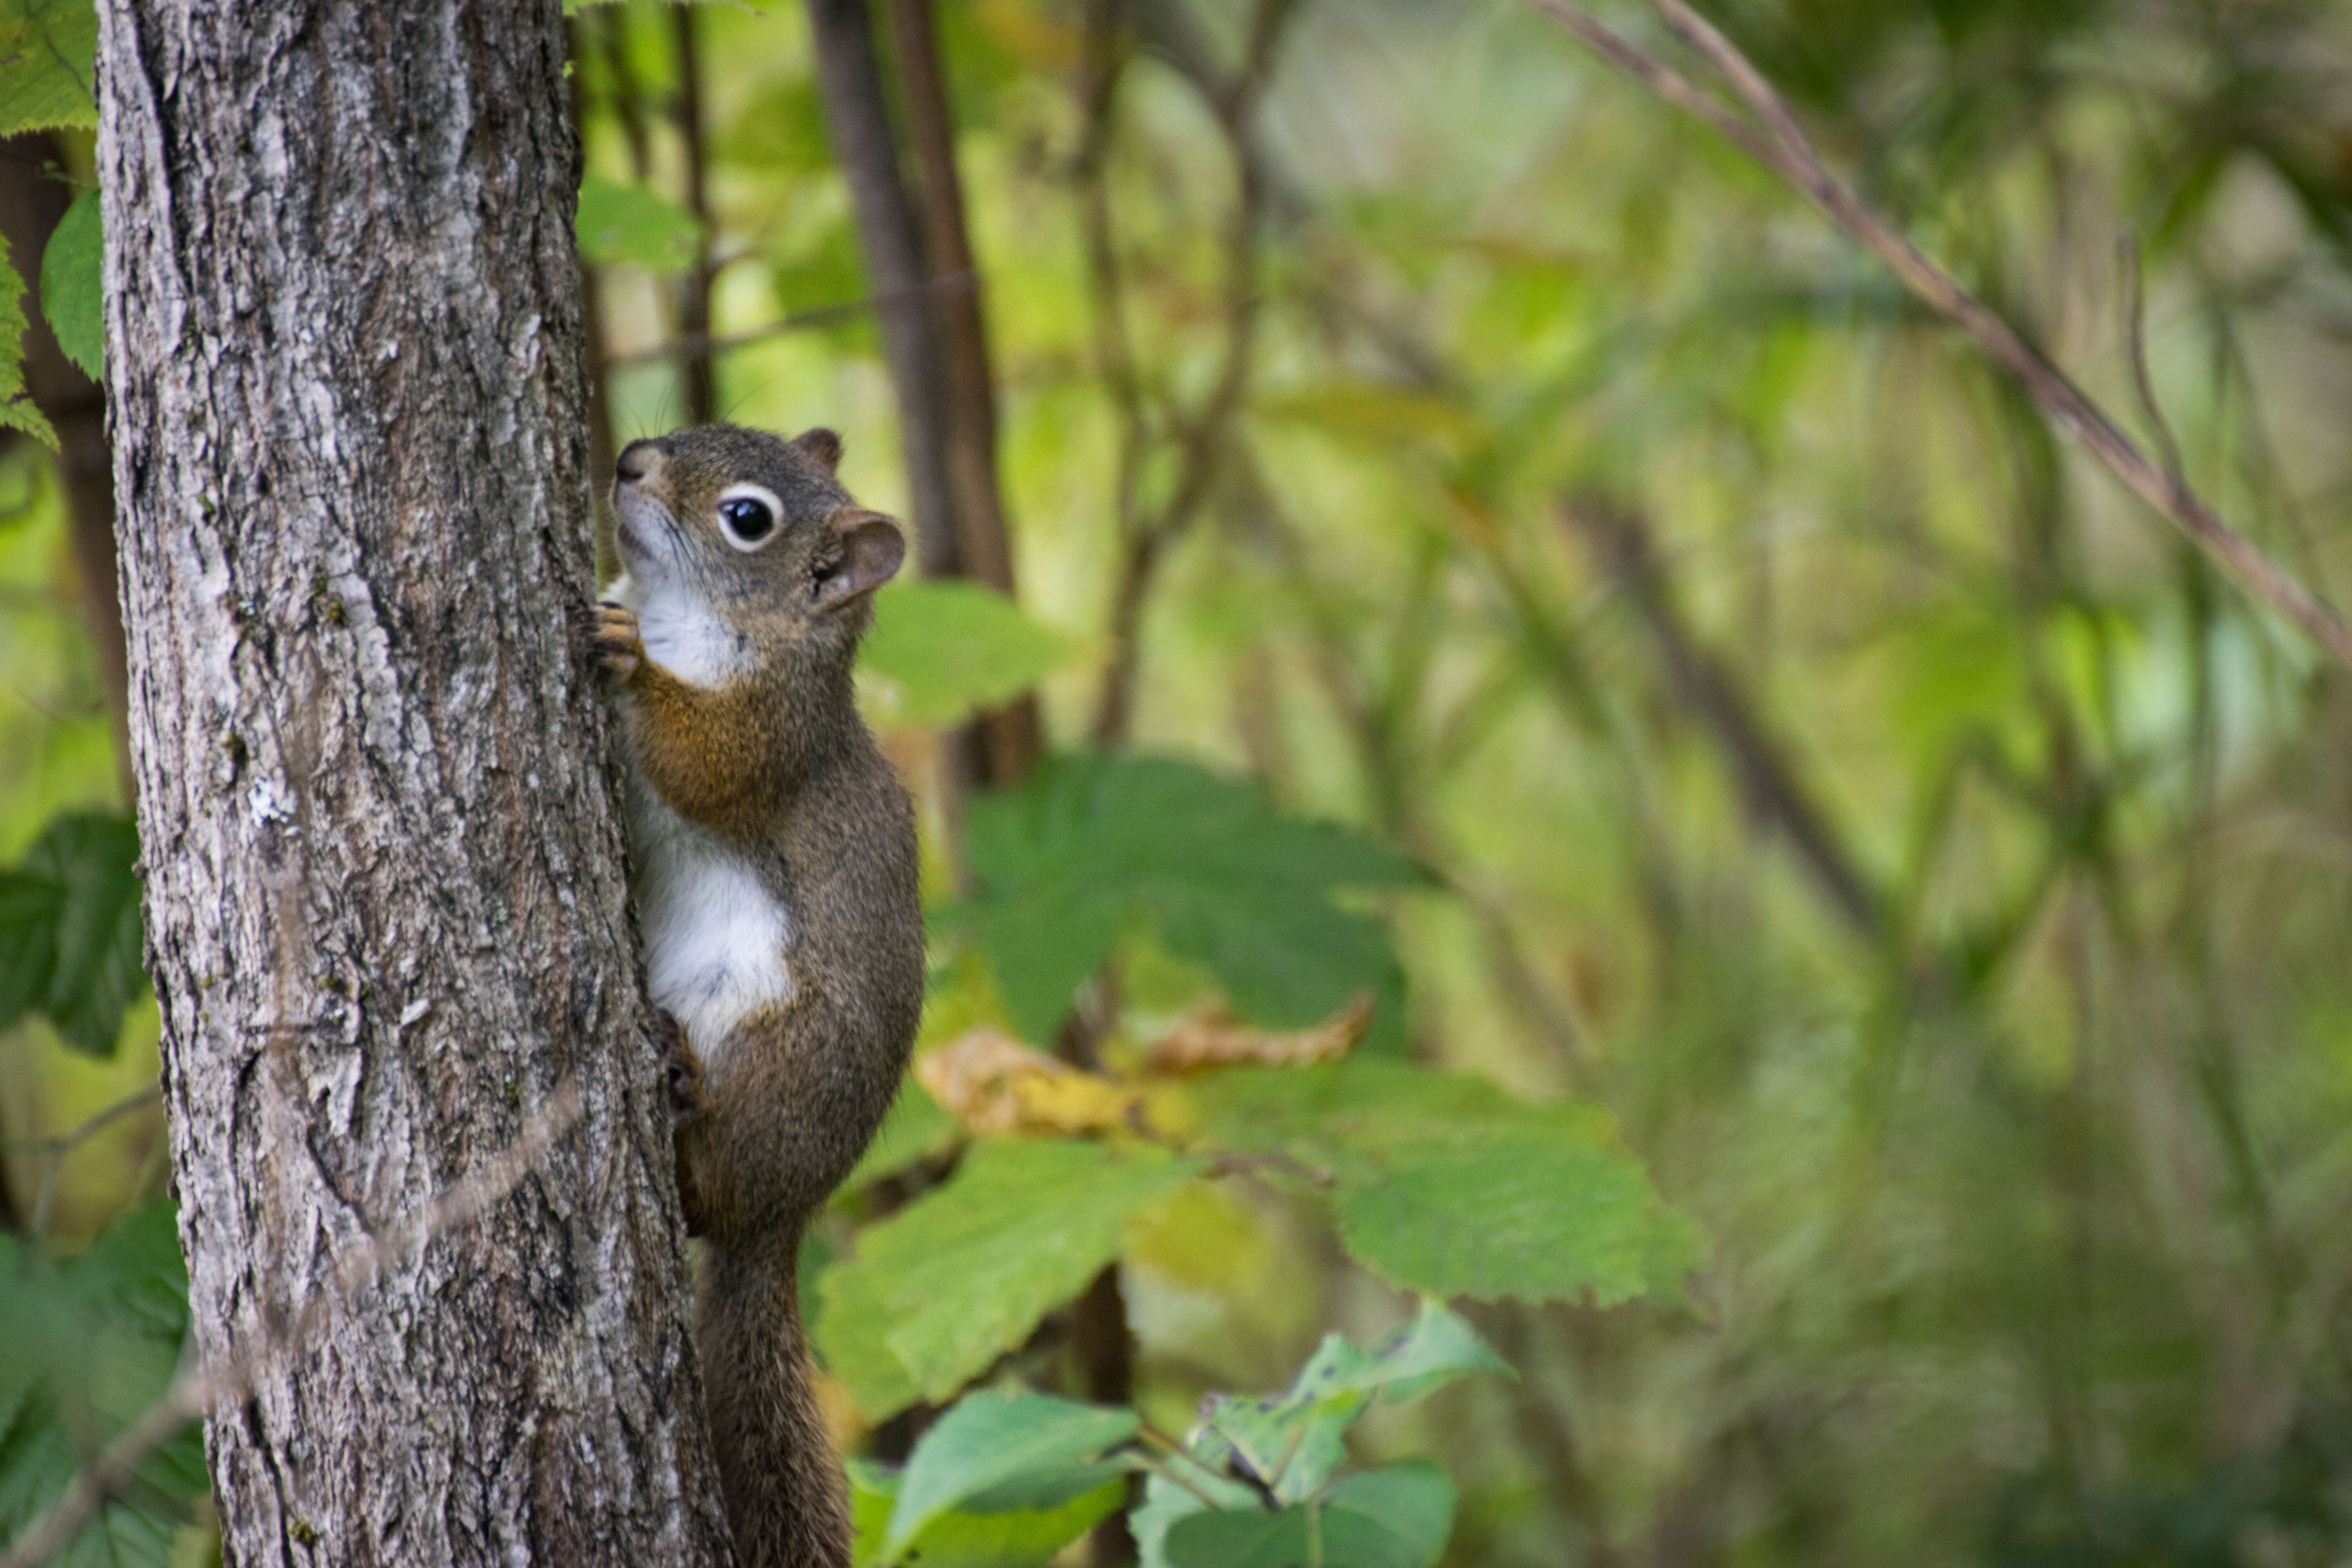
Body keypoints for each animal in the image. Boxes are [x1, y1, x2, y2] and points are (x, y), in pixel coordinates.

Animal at [588, 421, 927, 1568]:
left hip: (773, 1051)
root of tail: (792, 1212)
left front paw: (631, 664)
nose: (630, 462)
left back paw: (683, 1090)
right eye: (692, 434)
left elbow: (703, 764)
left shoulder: (773, 737)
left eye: (748, 519)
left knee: (710, 1196)